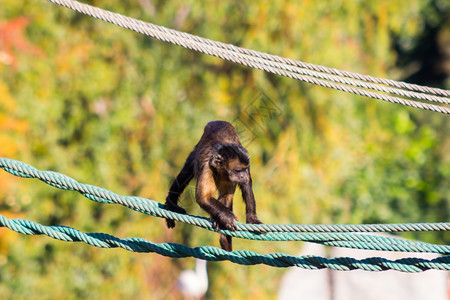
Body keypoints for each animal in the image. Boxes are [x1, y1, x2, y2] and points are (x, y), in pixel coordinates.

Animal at [164, 120, 262, 252]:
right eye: (237, 171)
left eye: (244, 170)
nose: (243, 175)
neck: (221, 172)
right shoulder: (207, 168)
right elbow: (203, 197)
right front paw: (225, 217)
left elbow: (227, 195)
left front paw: (221, 220)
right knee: (185, 173)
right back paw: (170, 204)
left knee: (246, 184)